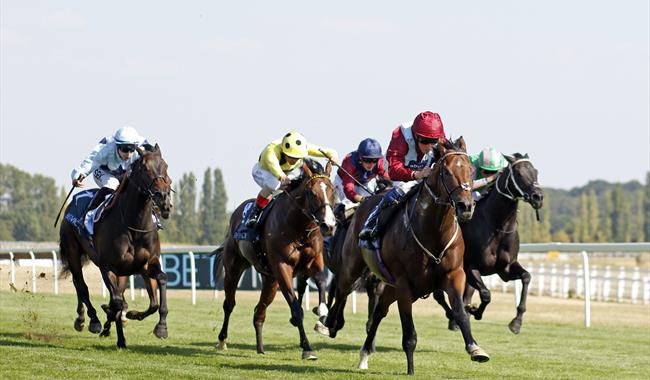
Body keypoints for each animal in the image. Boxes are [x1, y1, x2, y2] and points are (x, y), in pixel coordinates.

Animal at [58, 144, 172, 348]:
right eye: (144, 168)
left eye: (165, 166)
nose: (163, 198)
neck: (134, 225)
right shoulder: (108, 267)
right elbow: (118, 302)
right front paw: (118, 334)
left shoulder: (147, 264)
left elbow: (158, 289)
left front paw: (160, 327)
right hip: (72, 252)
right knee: (81, 285)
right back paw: (91, 320)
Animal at [213, 160, 334, 360]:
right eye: (312, 192)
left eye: (332, 190)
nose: (328, 225)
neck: (299, 228)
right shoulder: (282, 268)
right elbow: (296, 309)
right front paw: (307, 348)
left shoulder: (313, 263)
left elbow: (322, 282)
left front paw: (322, 311)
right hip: (234, 268)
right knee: (229, 304)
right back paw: (222, 340)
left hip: (270, 280)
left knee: (259, 312)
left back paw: (260, 347)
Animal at [322, 138, 488, 376]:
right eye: (446, 172)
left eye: (471, 170)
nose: (466, 206)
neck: (433, 233)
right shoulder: (403, 284)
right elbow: (409, 335)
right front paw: (410, 370)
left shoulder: (454, 275)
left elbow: (460, 312)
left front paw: (475, 348)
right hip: (354, 268)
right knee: (342, 291)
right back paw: (330, 323)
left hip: (388, 286)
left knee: (378, 312)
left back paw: (364, 354)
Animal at [436, 153, 540, 334]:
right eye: (519, 173)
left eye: (535, 172)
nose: (538, 196)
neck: (497, 226)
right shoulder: (470, 267)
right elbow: (486, 294)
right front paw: (475, 311)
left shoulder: (505, 269)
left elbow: (526, 277)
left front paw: (516, 322)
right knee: (440, 295)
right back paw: (455, 317)